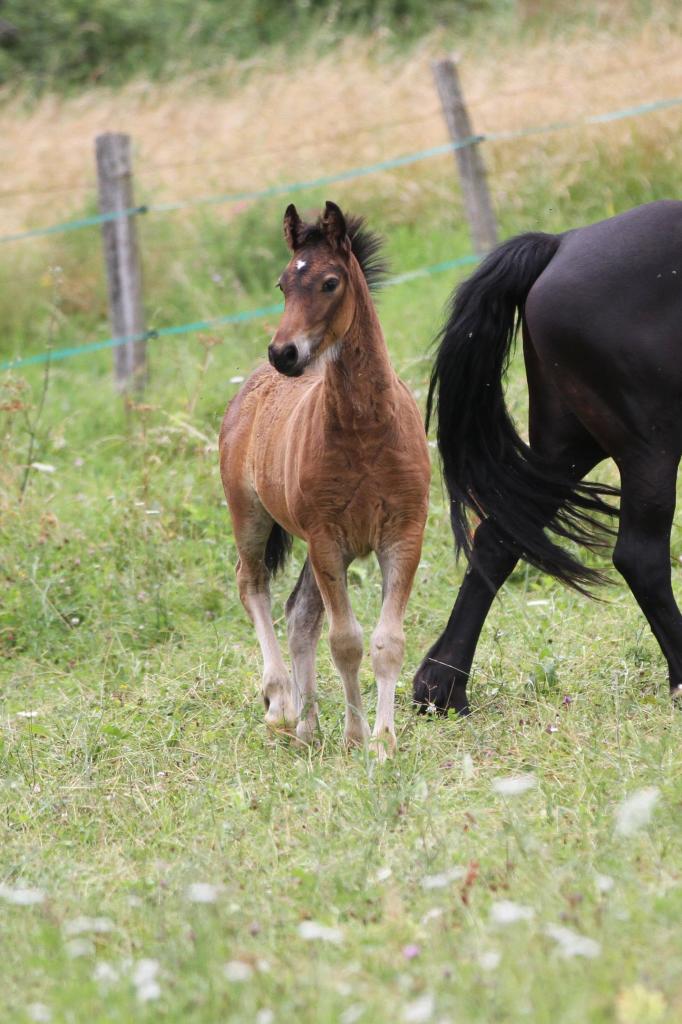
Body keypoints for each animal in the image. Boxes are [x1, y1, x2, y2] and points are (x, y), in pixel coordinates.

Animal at [220, 203, 428, 757]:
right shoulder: (326, 538)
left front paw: (383, 741)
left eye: (330, 282)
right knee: (253, 584)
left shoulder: (404, 534)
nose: (284, 353)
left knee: (299, 613)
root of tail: (250, 384)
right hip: (251, 516)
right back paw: (281, 703)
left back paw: (309, 726)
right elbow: (346, 641)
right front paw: (356, 735)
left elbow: (385, 642)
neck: (365, 430)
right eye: (281, 284)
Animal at [411, 197, 679, 712]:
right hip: (648, 449)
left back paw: (441, 688)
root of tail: (562, 243)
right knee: (641, 557)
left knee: (497, 542)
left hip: (567, 448)